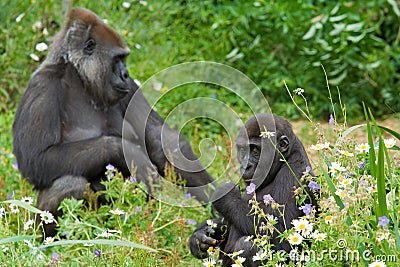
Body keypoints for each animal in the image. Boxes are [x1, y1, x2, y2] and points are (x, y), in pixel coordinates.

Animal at [12, 6, 212, 237]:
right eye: (117, 59)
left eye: (125, 59)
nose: (126, 74)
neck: (79, 76)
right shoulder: (42, 85)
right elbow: (37, 159)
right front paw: (126, 151)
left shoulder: (130, 88)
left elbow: (161, 141)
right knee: (69, 184)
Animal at [189, 114, 318, 266]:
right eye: (242, 149)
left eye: (255, 150)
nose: (245, 166)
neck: (287, 157)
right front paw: (199, 237)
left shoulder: (293, 177)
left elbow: (283, 238)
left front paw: (226, 197)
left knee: (248, 246)